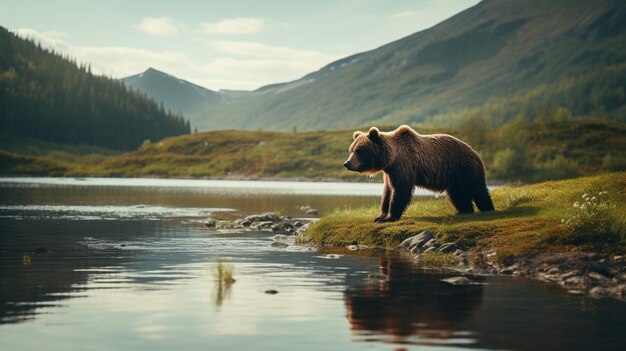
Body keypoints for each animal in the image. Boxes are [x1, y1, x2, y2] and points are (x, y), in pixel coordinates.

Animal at [342, 124, 492, 223]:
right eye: (351, 150)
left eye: (359, 151)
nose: (347, 163)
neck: (392, 158)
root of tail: (475, 152)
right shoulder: (389, 172)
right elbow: (387, 192)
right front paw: (380, 215)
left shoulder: (403, 165)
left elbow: (400, 191)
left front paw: (389, 217)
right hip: (453, 176)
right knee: (457, 194)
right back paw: (463, 211)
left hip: (464, 167)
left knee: (476, 188)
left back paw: (487, 208)